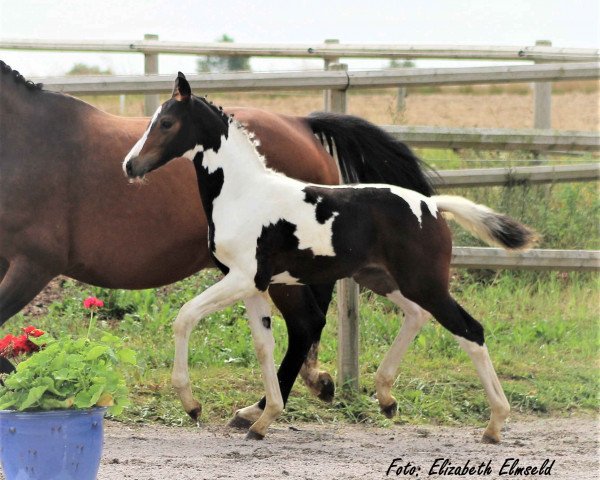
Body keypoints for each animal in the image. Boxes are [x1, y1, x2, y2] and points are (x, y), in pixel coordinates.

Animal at [124, 72, 536, 442]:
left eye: (166, 122)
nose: (130, 165)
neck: (243, 195)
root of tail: (432, 207)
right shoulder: (254, 285)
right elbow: (263, 346)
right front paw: (262, 419)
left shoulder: (242, 278)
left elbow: (185, 317)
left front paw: (192, 405)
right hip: (383, 279)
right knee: (418, 316)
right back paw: (386, 397)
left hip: (425, 283)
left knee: (470, 331)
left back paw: (494, 425)